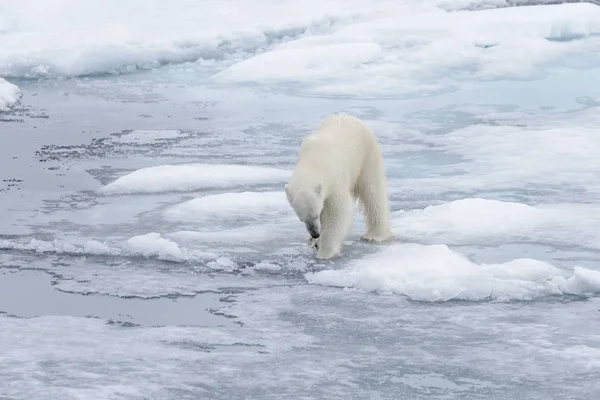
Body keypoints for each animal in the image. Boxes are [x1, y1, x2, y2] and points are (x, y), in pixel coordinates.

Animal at [286, 114, 394, 260]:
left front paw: (325, 252)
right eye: (301, 219)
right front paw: (315, 241)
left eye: (315, 214)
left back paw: (374, 235)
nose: (315, 234)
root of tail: (351, 117)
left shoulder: (334, 178)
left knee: (372, 192)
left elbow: (338, 211)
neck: (314, 159)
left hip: (366, 156)